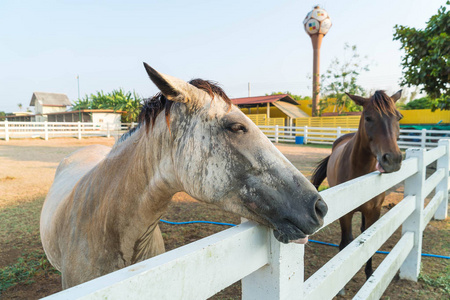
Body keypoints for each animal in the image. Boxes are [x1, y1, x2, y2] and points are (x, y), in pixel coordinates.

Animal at [312, 89, 402, 290]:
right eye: (368, 118)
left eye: (398, 117)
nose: (393, 159)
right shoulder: (346, 214)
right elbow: (346, 241)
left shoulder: (374, 211)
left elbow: (369, 238)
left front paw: (369, 273)